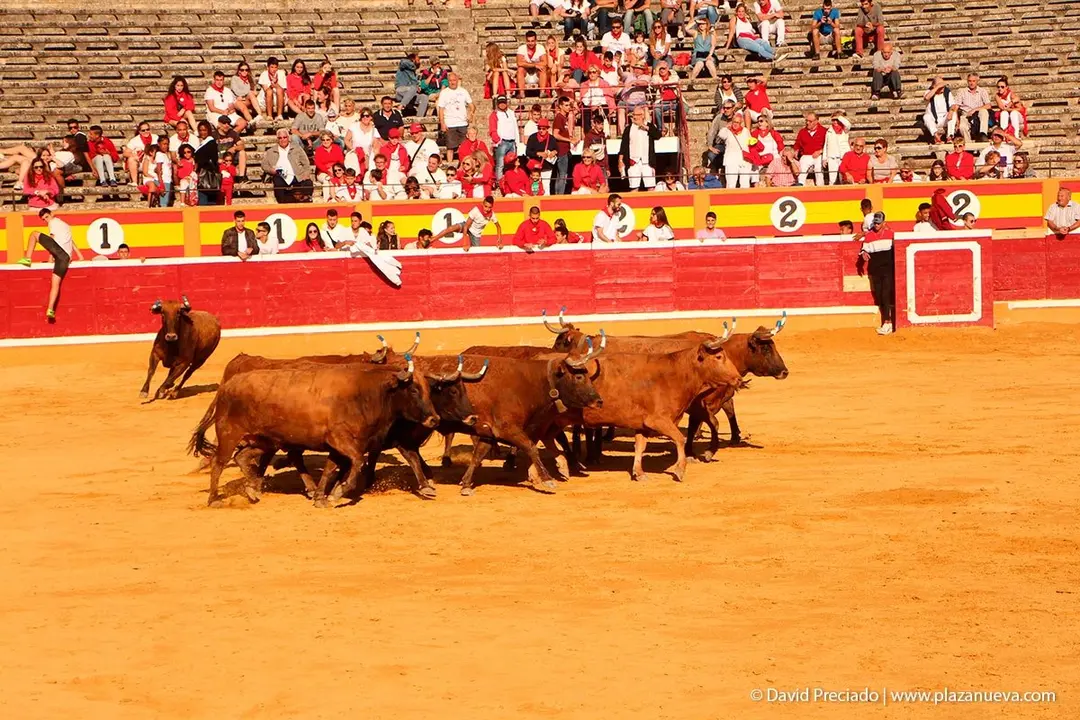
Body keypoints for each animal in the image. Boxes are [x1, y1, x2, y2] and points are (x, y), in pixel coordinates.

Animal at [187, 357, 438, 507]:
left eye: (429, 390)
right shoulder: (343, 441)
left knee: (243, 457)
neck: (368, 394)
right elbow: (356, 463)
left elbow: (330, 469)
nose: (434, 419)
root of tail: (226, 386)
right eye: (414, 390)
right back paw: (214, 499)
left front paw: (320, 497)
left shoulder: (338, 447)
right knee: (219, 462)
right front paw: (337, 493)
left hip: (265, 440)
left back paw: (252, 490)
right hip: (229, 434)